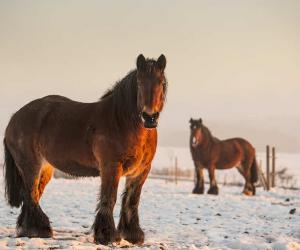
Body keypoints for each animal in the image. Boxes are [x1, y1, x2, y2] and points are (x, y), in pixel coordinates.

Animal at [2, 53, 168, 245]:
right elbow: (109, 198)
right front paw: (107, 235)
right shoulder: (111, 167)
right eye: (140, 82)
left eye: (161, 82)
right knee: (30, 195)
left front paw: (133, 235)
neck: (122, 121)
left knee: (33, 195)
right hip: (30, 166)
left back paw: (27, 229)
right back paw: (40, 230)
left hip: (45, 168)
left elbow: (132, 200)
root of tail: (14, 118)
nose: (150, 117)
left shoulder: (141, 170)